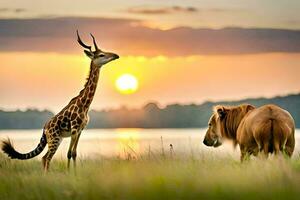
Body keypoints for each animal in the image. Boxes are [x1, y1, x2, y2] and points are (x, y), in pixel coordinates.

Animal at [1, 30, 118, 171]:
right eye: (101, 55)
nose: (116, 55)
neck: (85, 105)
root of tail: (44, 129)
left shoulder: (80, 130)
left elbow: (74, 153)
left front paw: (74, 173)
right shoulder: (74, 128)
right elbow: (69, 154)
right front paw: (70, 173)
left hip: (57, 139)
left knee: (45, 158)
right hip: (54, 139)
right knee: (46, 158)